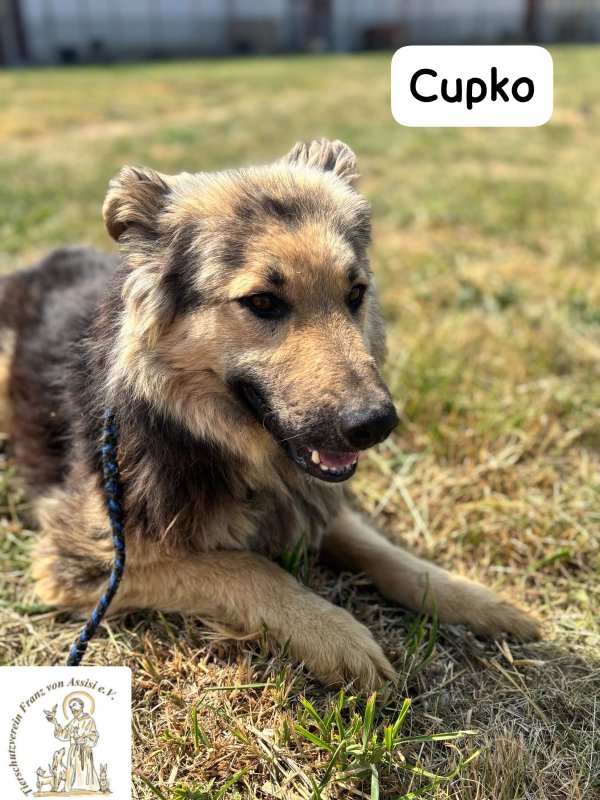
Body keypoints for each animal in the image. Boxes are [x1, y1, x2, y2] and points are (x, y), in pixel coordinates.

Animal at [0, 139, 539, 691]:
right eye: (262, 301)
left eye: (355, 294)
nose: (376, 424)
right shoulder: (89, 562)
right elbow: (244, 566)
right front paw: (334, 633)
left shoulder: (309, 499)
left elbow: (384, 552)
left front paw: (475, 599)